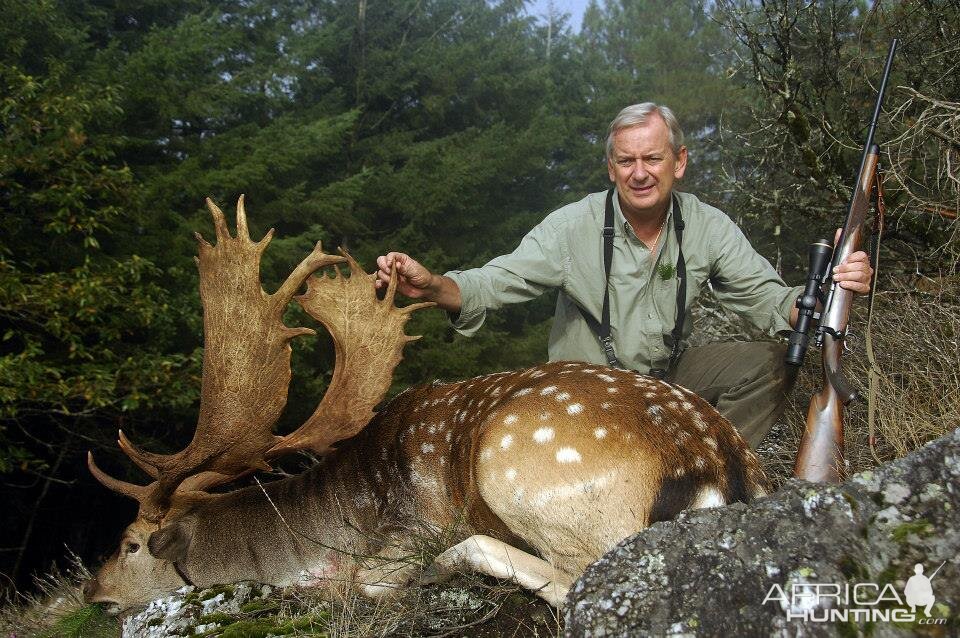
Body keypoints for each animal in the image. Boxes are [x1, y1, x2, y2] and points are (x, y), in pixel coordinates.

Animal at [84, 196, 772, 616]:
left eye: (130, 544)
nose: (94, 595)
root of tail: (713, 462)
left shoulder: (398, 537)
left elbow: (363, 577)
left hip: (527, 476)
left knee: (579, 580)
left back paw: (446, 566)